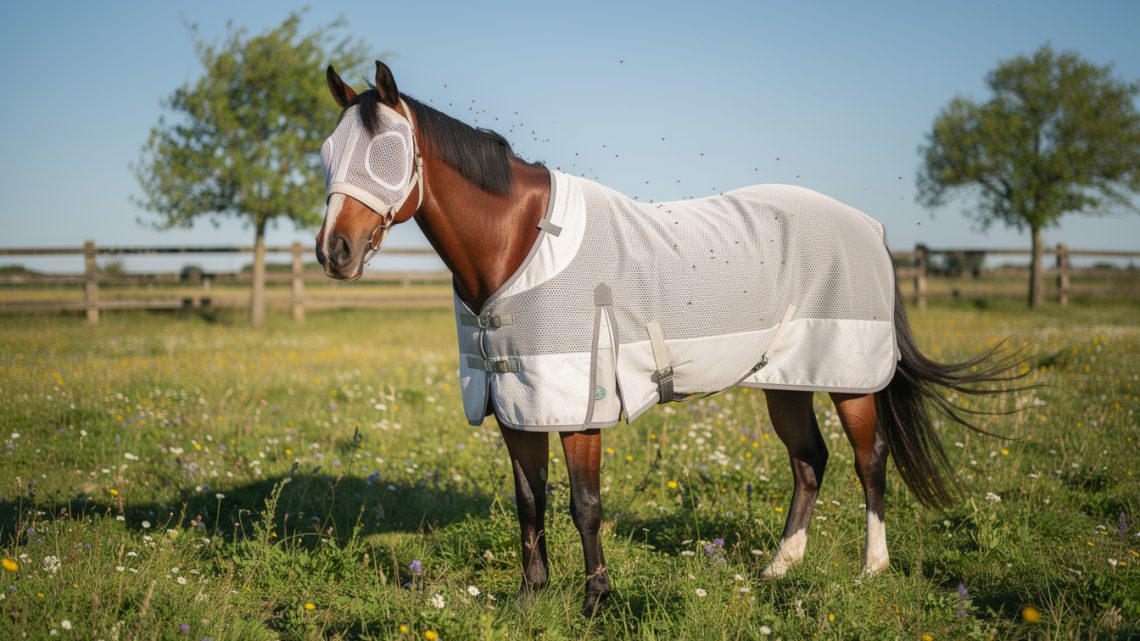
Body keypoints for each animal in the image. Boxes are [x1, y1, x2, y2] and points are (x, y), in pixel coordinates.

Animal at [315, 61, 1014, 617]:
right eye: (326, 153)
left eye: (386, 155)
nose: (333, 251)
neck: (519, 244)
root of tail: (870, 226)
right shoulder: (518, 403)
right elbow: (528, 501)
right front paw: (531, 597)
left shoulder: (580, 409)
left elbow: (585, 505)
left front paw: (596, 600)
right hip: (785, 380)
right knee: (809, 460)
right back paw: (778, 568)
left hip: (849, 380)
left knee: (871, 462)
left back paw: (872, 569)